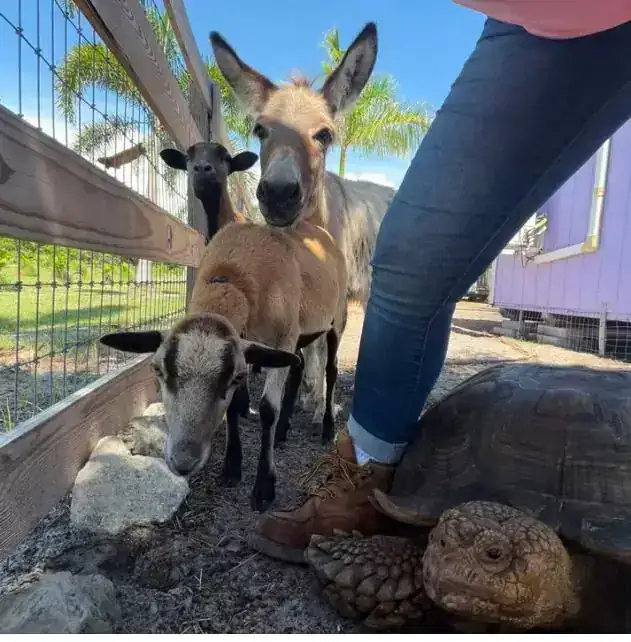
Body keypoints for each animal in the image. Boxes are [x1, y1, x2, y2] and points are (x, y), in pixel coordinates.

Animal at [100, 217, 347, 512]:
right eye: (157, 370)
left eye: (236, 377)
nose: (183, 462)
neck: (232, 275)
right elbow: (235, 406)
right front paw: (232, 466)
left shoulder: (284, 339)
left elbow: (267, 409)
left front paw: (264, 486)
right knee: (297, 369)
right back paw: (283, 431)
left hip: (336, 317)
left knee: (331, 369)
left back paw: (327, 426)